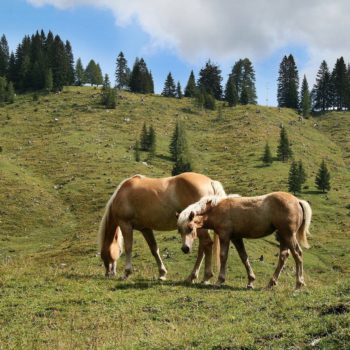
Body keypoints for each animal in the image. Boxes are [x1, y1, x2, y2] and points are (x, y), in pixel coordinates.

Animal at [98, 172, 227, 282]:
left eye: (104, 254)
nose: (108, 273)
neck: (123, 193)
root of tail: (211, 182)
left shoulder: (125, 225)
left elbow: (128, 247)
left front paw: (126, 273)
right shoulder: (145, 229)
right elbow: (154, 249)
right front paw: (162, 273)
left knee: (207, 244)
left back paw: (205, 276)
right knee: (203, 247)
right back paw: (193, 276)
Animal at [178, 193, 312, 288]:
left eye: (190, 228)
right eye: (180, 230)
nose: (185, 248)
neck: (217, 208)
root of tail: (297, 201)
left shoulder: (225, 236)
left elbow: (223, 256)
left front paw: (220, 280)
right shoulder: (236, 238)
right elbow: (244, 257)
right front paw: (251, 281)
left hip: (288, 235)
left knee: (297, 254)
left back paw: (299, 284)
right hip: (283, 236)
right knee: (284, 256)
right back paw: (271, 283)